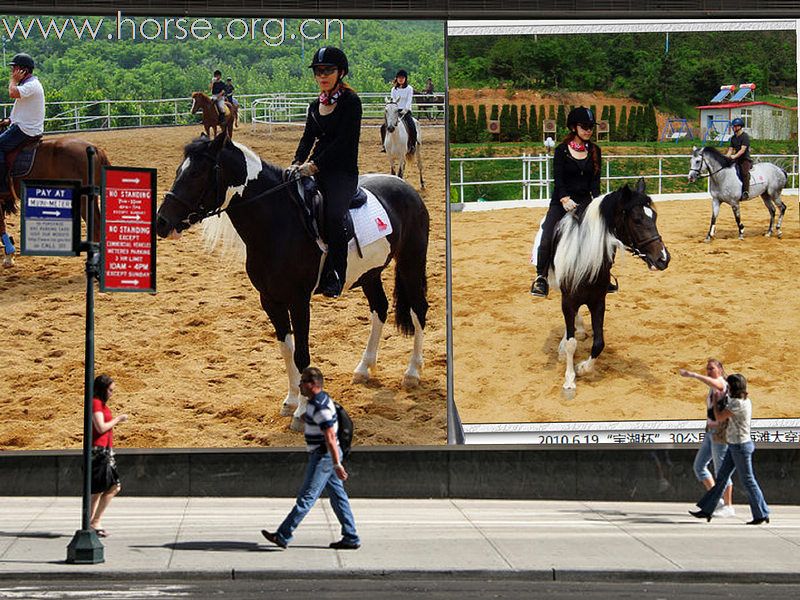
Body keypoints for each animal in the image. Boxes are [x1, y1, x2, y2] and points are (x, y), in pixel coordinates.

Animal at [158, 134, 432, 428]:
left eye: (196, 173)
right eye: (179, 170)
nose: (162, 222)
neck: (278, 222)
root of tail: (407, 188)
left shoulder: (298, 300)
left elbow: (301, 353)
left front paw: (302, 413)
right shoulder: (270, 299)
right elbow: (286, 349)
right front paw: (290, 401)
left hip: (411, 262)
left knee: (418, 310)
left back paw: (412, 373)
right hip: (370, 274)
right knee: (379, 309)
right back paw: (363, 368)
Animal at [552, 179, 668, 390]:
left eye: (654, 217)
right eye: (637, 220)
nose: (663, 259)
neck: (585, 258)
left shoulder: (598, 301)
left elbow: (599, 343)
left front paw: (582, 368)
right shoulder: (568, 300)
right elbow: (572, 343)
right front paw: (570, 379)